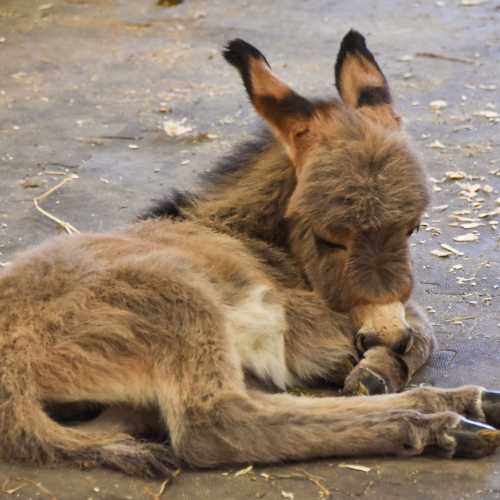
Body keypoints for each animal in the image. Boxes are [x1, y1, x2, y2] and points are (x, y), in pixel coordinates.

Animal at [0, 31, 498, 476]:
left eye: (412, 227)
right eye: (329, 238)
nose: (384, 334)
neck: (244, 234)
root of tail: (12, 379)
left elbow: (418, 332)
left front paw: (377, 368)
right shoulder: (309, 321)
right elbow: (422, 329)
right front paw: (374, 369)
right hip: (176, 301)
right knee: (217, 425)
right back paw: (440, 419)